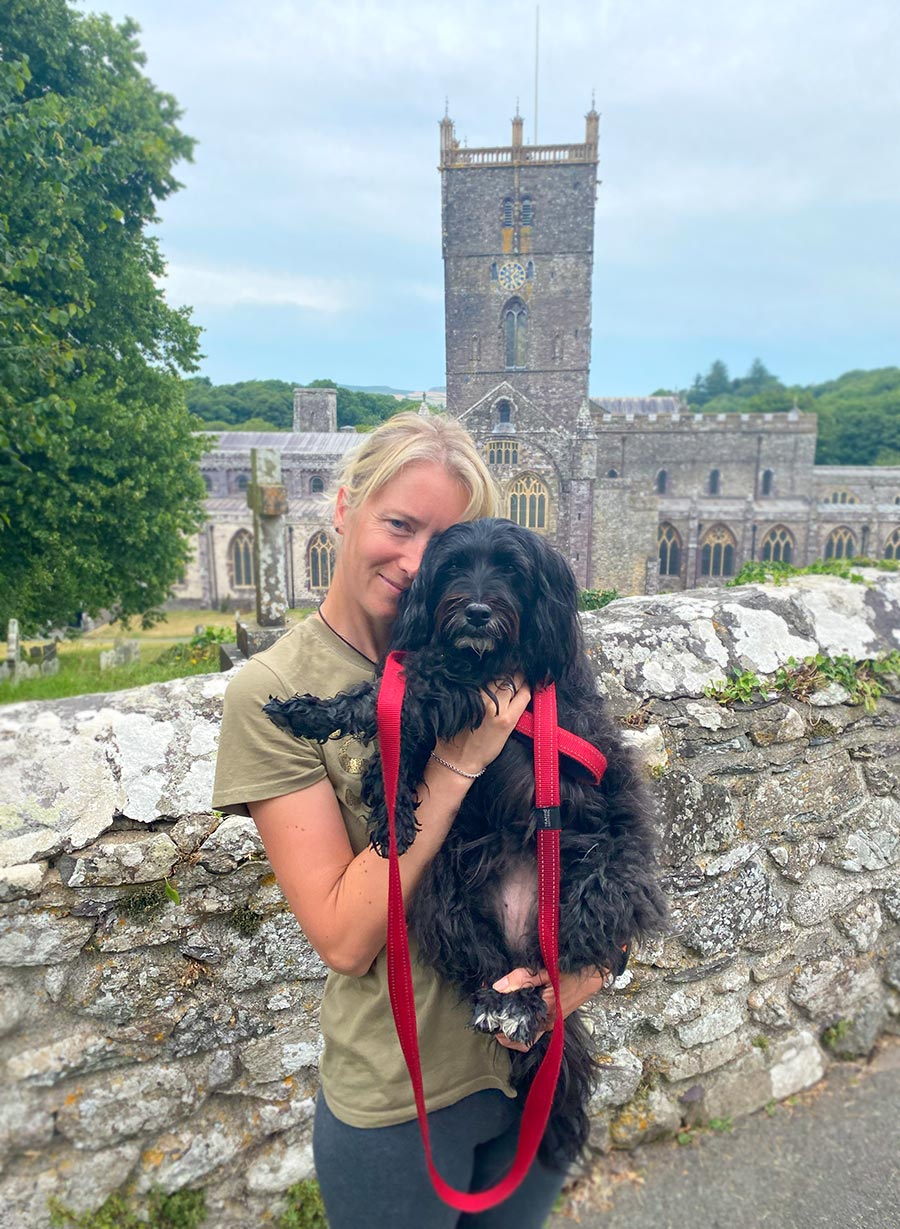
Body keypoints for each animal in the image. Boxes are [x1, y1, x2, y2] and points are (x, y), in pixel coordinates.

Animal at [263, 513, 663, 1165]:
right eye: (452, 567)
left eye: (512, 570)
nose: (475, 612)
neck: (485, 654)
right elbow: (390, 732)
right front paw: (320, 726)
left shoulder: (480, 687)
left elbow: (410, 684)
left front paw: (324, 715)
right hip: (442, 901)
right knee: (493, 967)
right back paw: (506, 1006)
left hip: (597, 881)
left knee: (564, 957)